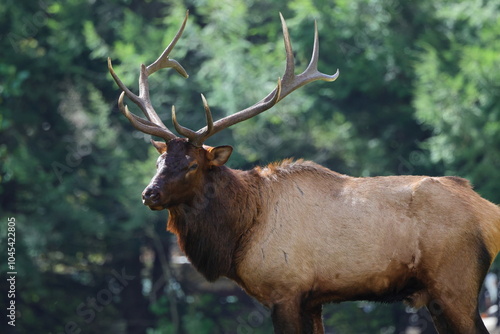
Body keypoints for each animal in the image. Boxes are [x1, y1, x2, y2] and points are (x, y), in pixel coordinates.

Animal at [108, 11, 500, 334]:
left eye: (192, 165)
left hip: (455, 283)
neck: (240, 233)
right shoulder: (313, 300)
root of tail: (489, 212)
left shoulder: (285, 289)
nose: (149, 194)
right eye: (159, 162)